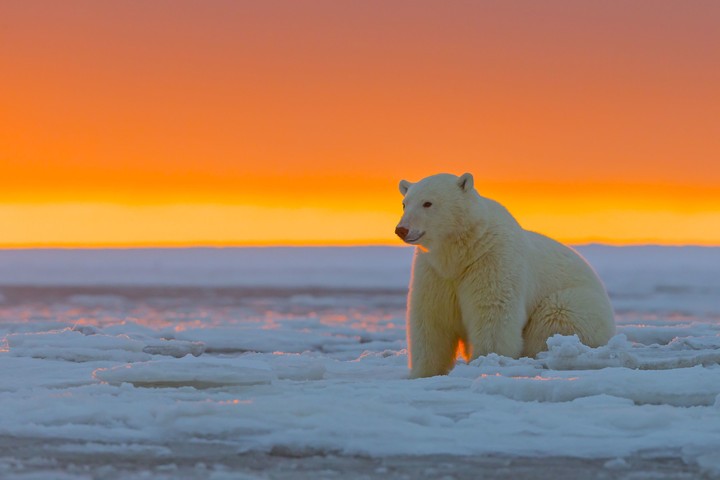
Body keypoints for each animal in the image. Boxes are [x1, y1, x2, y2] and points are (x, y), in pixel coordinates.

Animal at [395, 172, 615, 378]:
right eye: (405, 204)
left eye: (428, 203)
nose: (401, 229)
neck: (462, 252)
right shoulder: (434, 272)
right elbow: (431, 318)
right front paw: (424, 372)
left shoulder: (491, 259)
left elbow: (493, 314)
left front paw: (486, 361)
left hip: (577, 305)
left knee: (555, 316)